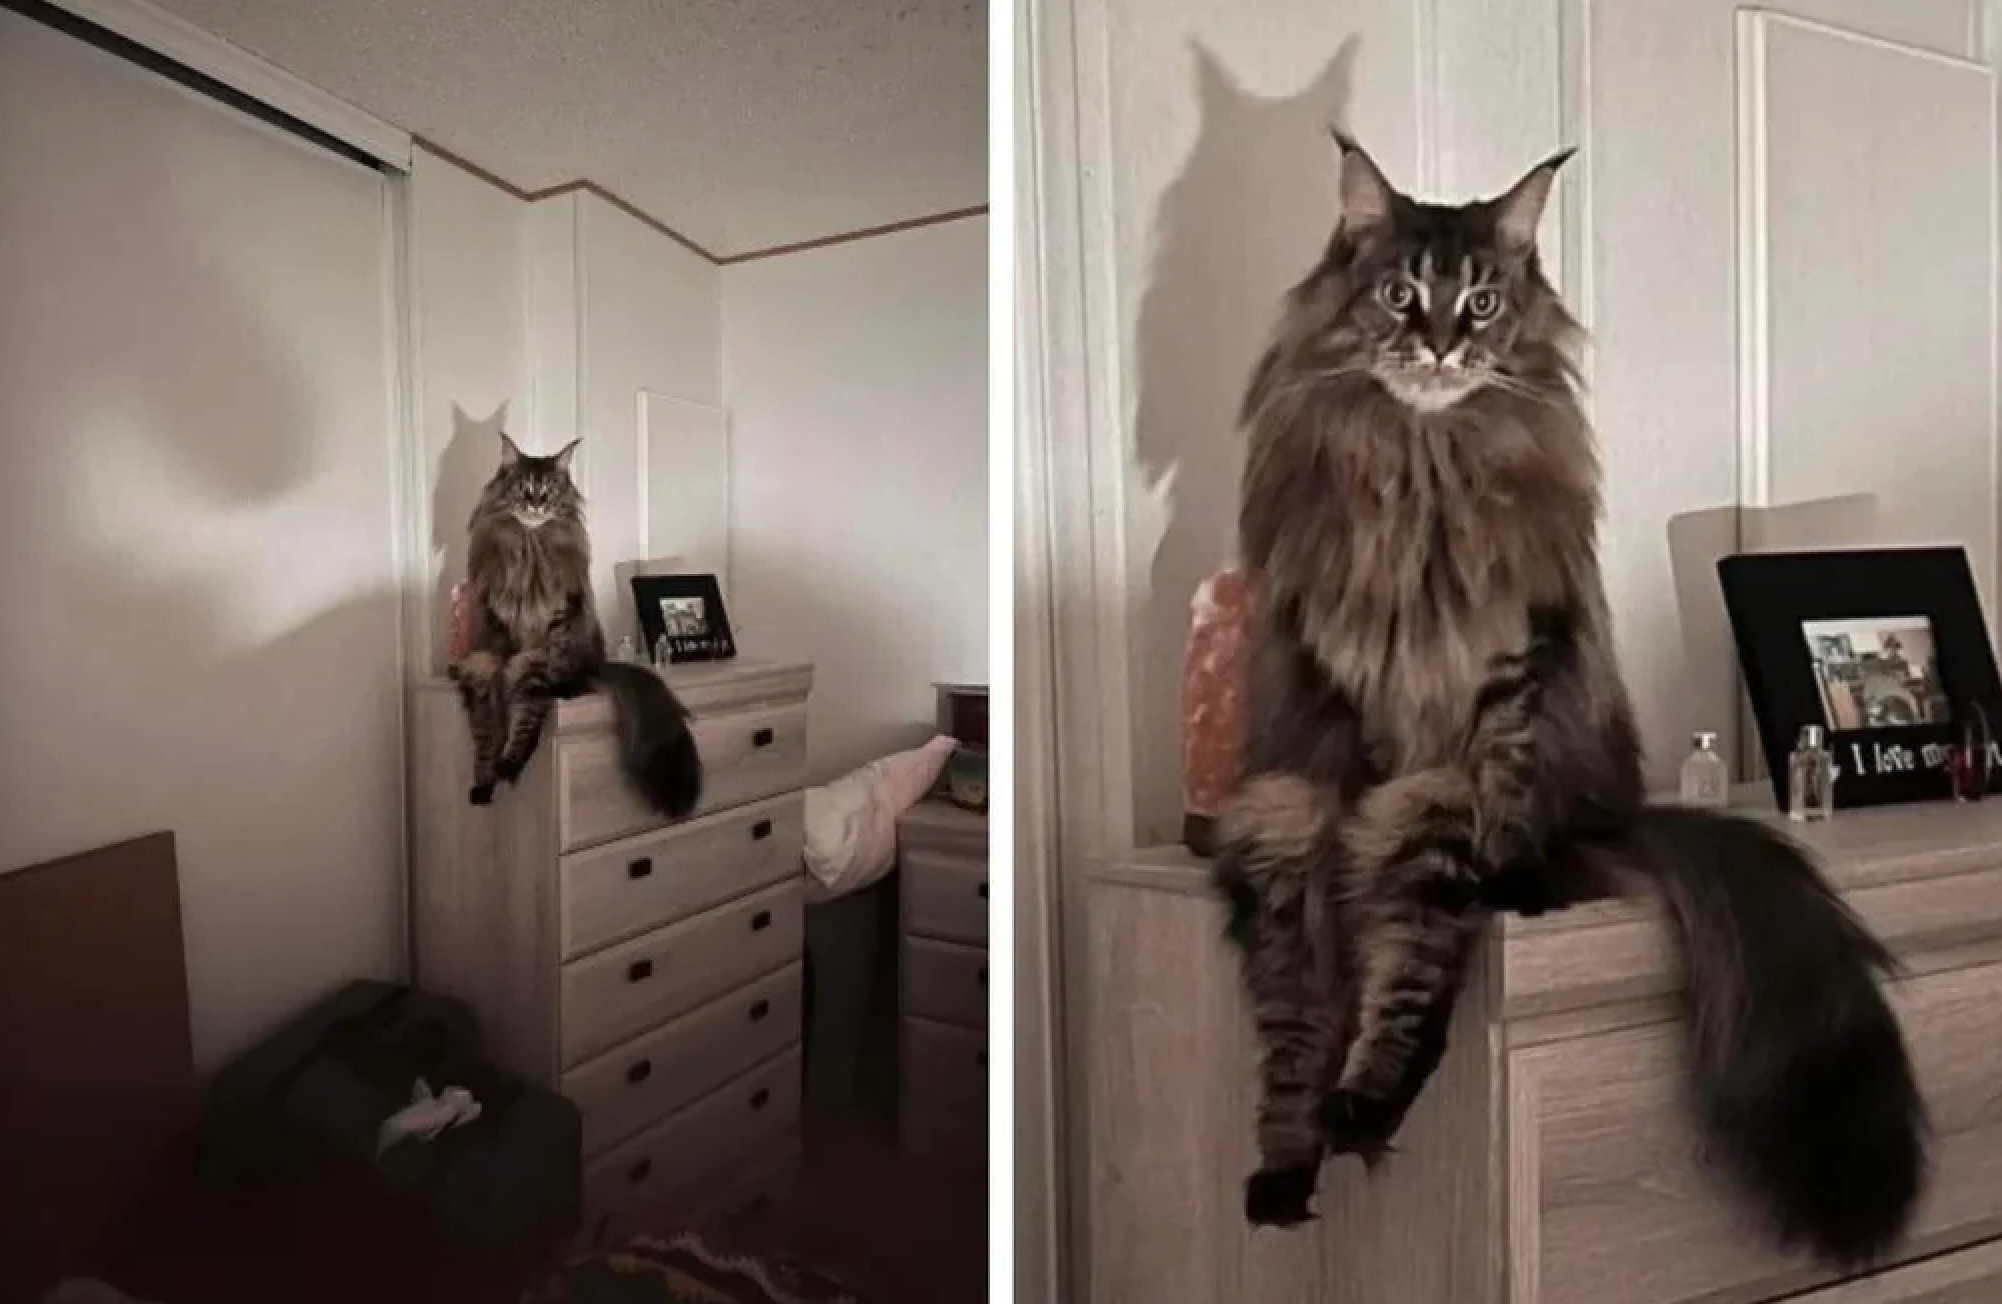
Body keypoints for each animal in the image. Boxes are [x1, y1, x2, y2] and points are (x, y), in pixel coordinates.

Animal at [452, 432, 704, 817]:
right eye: (523, 488)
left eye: (549, 490)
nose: (536, 506)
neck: (530, 545)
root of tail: (600, 662)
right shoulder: (492, 638)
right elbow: (486, 721)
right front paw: (485, 778)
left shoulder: (552, 629)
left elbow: (529, 706)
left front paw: (511, 761)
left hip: (559, 658)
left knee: (557, 692)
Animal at [1209, 127, 1929, 1273]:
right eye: (1403, 294)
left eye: (1484, 301)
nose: (1443, 347)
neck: (1424, 463)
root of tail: (1618, 813)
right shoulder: (1348, 698)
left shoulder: (1514, 655)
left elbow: (1498, 783)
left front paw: (1513, 876)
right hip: (1279, 822)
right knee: (1294, 1019)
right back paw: (1288, 1166)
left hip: (1428, 814)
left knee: (1414, 963)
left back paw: (1361, 1102)